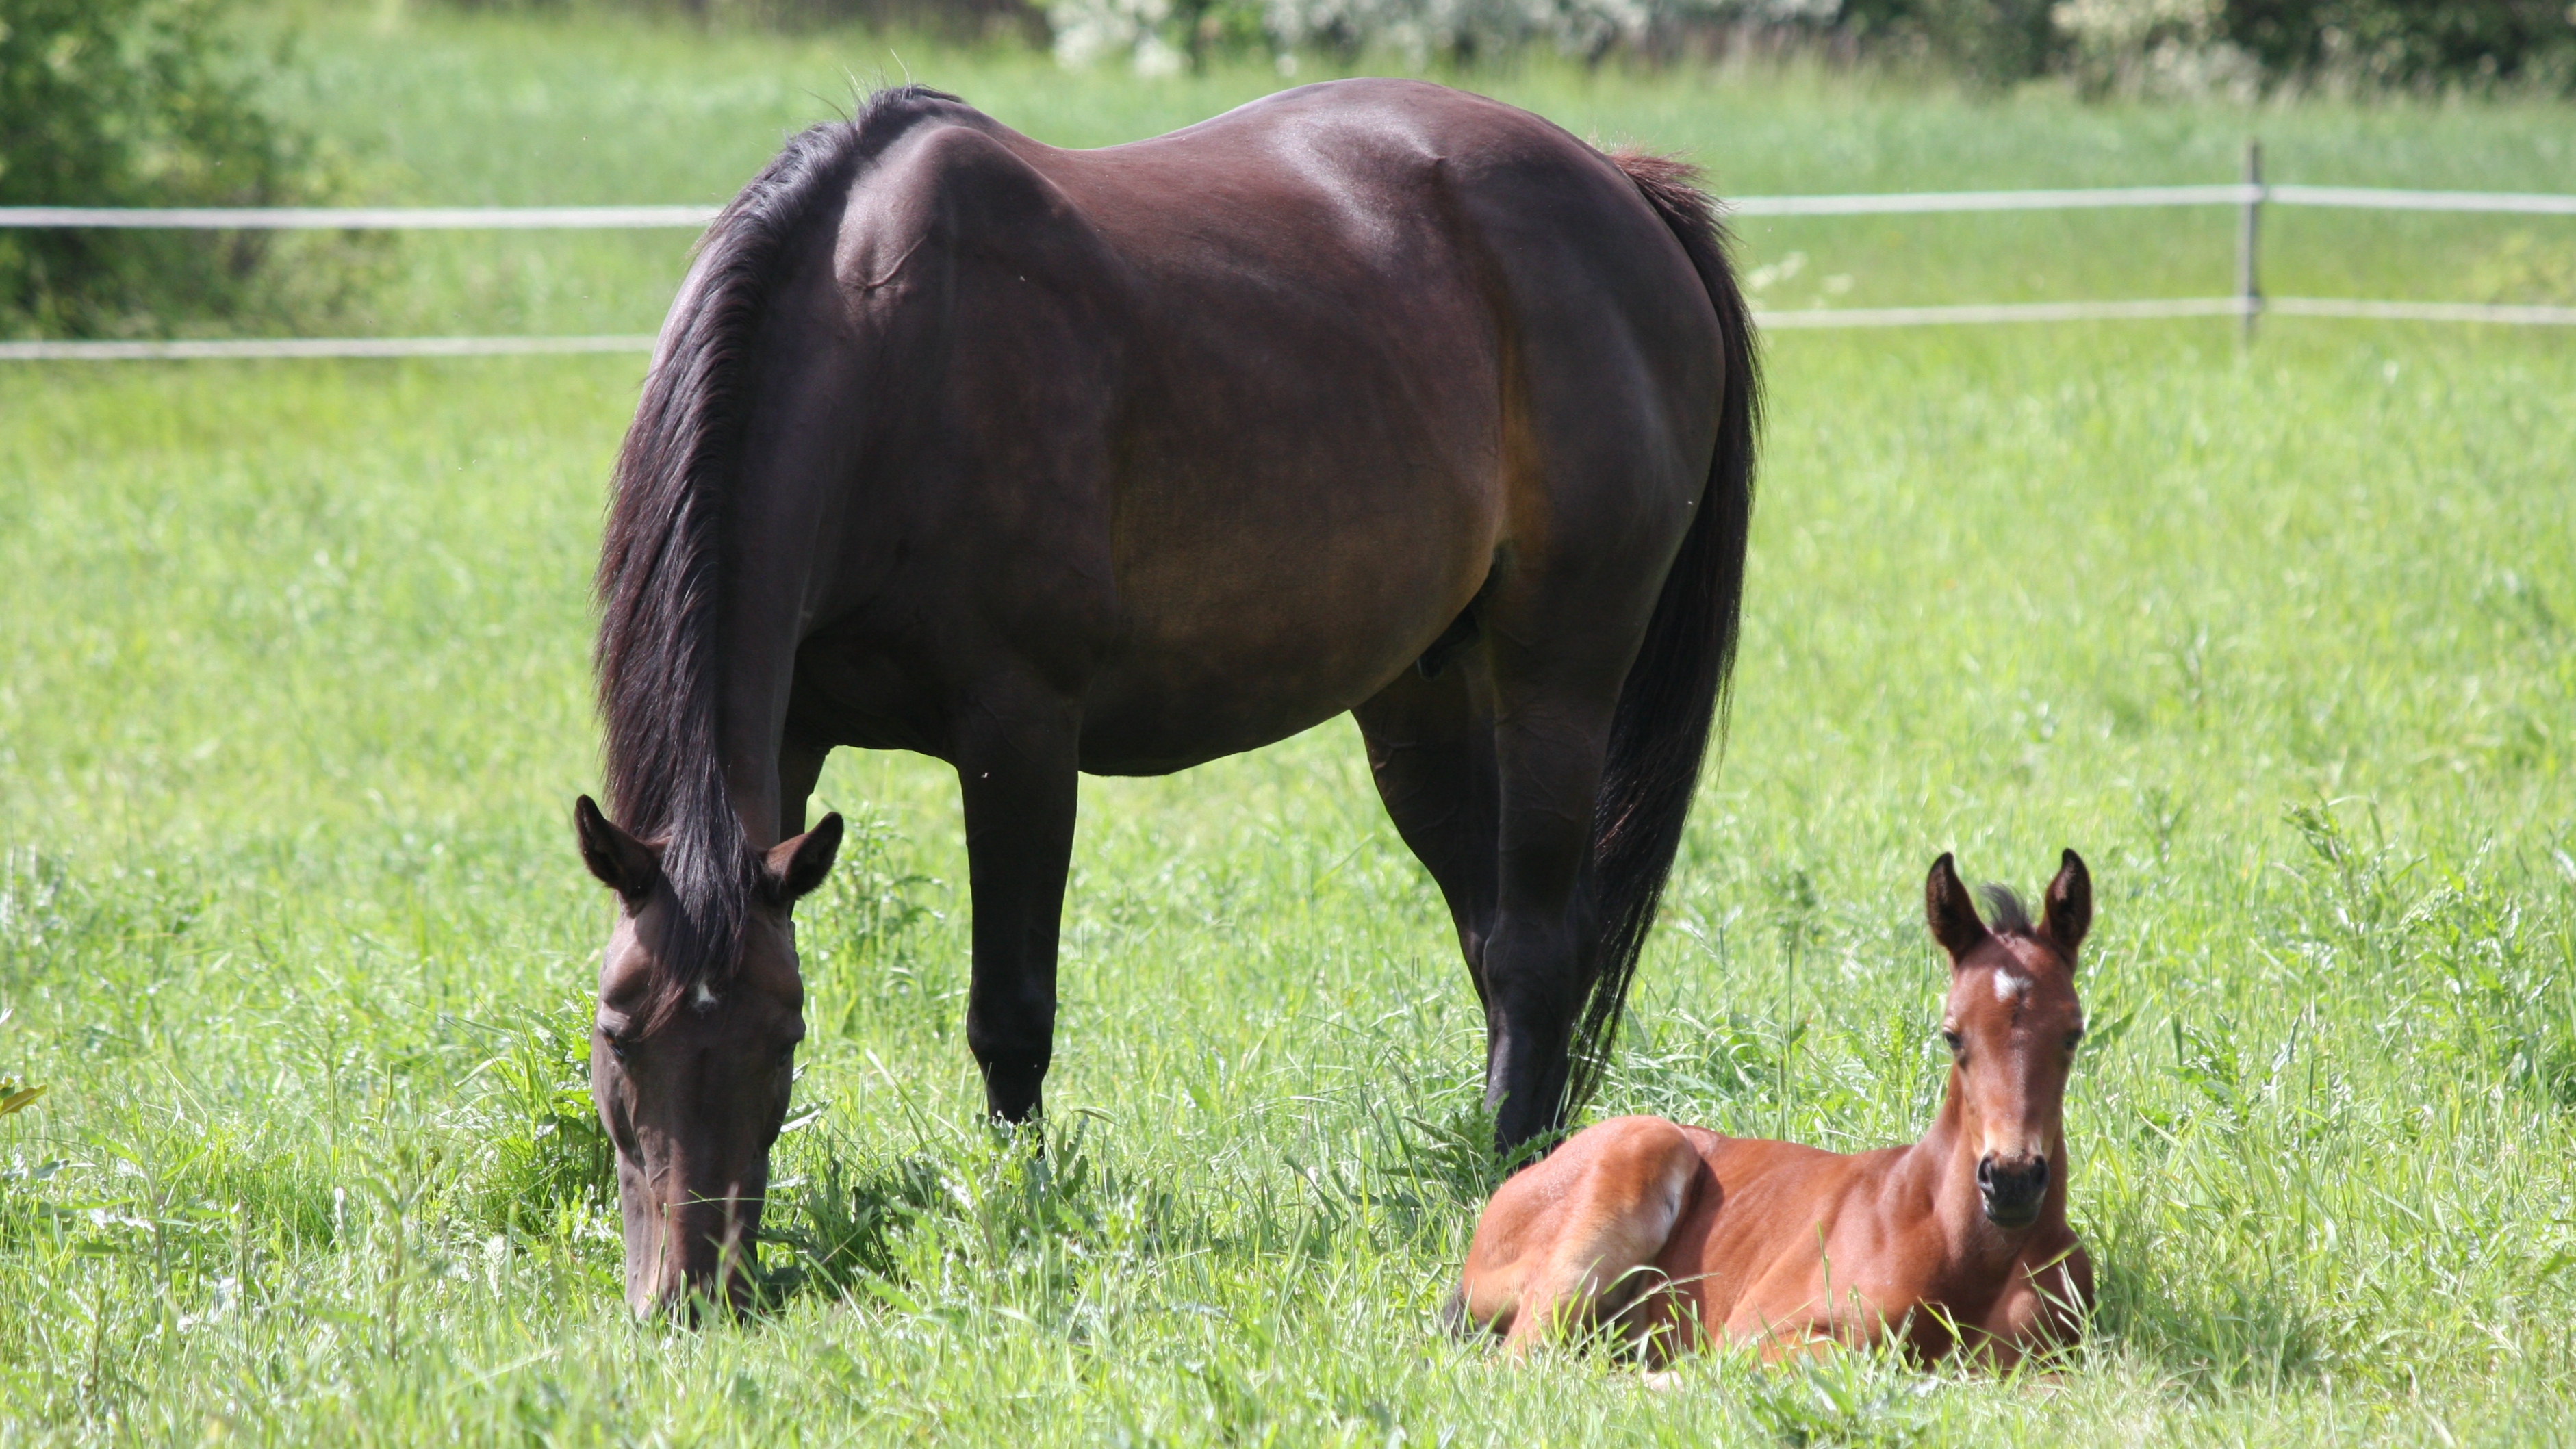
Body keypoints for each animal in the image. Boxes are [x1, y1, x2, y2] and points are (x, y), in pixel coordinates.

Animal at [574, 76, 1761, 1318]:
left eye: (782, 1037)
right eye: (617, 1031)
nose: (688, 1295)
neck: (890, 348)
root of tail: (1618, 184)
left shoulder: (1019, 734)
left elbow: (1010, 1014)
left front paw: (1020, 1214)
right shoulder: (792, 736)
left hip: (1557, 673)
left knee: (1536, 946)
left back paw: (1508, 1175)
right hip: (1418, 702)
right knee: (1496, 938)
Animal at [1453, 844, 2091, 1369]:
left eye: (2072, 1033)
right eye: (1952, 1035)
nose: (2011, 1179)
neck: (1964, 1252)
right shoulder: (1759, 1328)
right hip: (1632, 1167)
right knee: (1522, 1360)